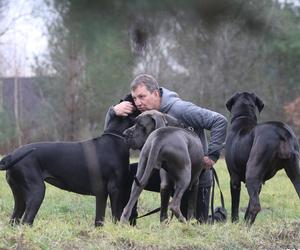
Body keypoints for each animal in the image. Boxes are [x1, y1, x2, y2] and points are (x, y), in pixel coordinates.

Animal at [0, 94, 138, 227]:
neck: (115, 139)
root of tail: (12, 155)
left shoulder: (101, 193)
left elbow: (99, 218)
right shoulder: (115, 188)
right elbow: (116, 214)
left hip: (20, 196)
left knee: (15, 220)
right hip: (37, 191)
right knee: (26, 221)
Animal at [225, 92, 300, 225]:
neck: (244, 117)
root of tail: (282, 131)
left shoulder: (234, 179)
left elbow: (235, 206)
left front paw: (235, 223)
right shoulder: (259, 183)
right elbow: (248, 206)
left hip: (252, 172)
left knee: (256, 206)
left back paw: (247, 226)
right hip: (295, 173)